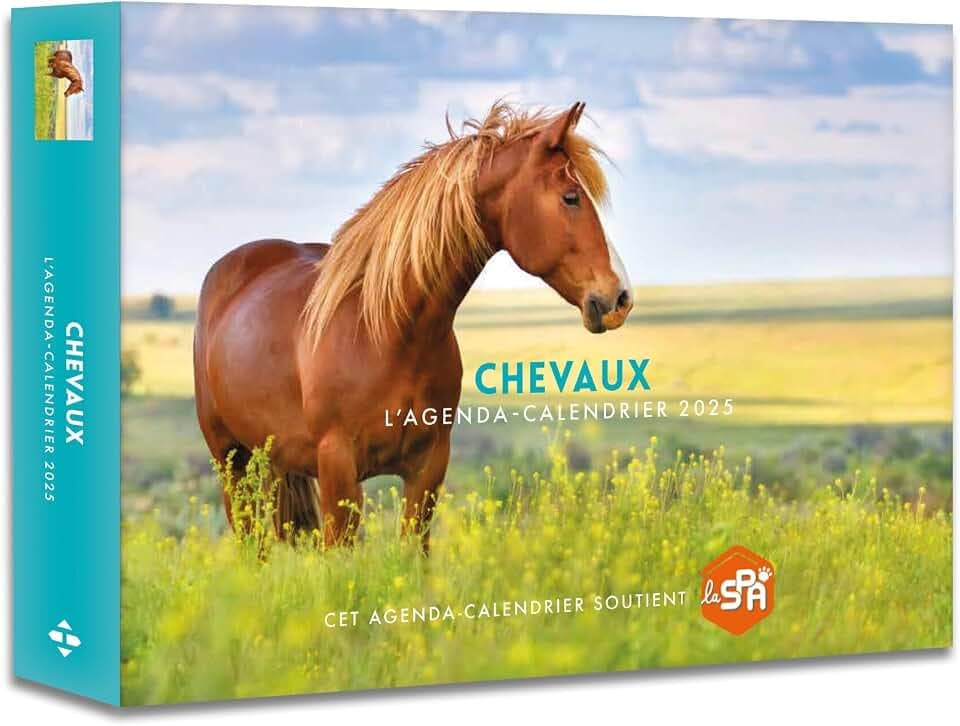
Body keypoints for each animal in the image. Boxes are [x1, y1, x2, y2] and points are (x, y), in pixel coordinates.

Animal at [193, 101, 634, 550]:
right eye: (571, 197)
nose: (619, 297)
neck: (388, 333)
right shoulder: (337, 469)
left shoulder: (427, 469)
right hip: (232, 462)